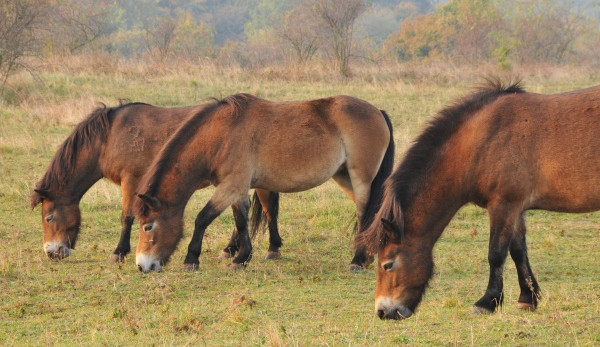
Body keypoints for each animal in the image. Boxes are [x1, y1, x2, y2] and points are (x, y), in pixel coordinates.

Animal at [30, 103, 278, 264]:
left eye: (49, 218)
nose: (51, 253)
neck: (109, 136)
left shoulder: (131, 181)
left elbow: (126, 217)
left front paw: (119, 252)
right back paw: (232, 250)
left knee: (268, 210)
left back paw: (271, 248)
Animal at [134, 94, 394, 274]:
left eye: (148, 226)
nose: (142, 265)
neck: (221, 135)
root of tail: (377, 111)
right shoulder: (237, 190)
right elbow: (241, 221)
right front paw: (242, 257)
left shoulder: (230, 187)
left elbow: (203, 218)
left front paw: (192, 259)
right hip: (344, 177)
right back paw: (366, 257)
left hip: (360, 179)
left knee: (364, 214)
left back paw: (357, 260)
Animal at [358, 81, 596, 320]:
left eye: (388, 264)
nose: (383, 311)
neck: (481, 142)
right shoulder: (516, 209)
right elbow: (518, 252)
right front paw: (527, 298)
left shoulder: (503, 206)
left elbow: (496, 254)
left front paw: (487, 302)